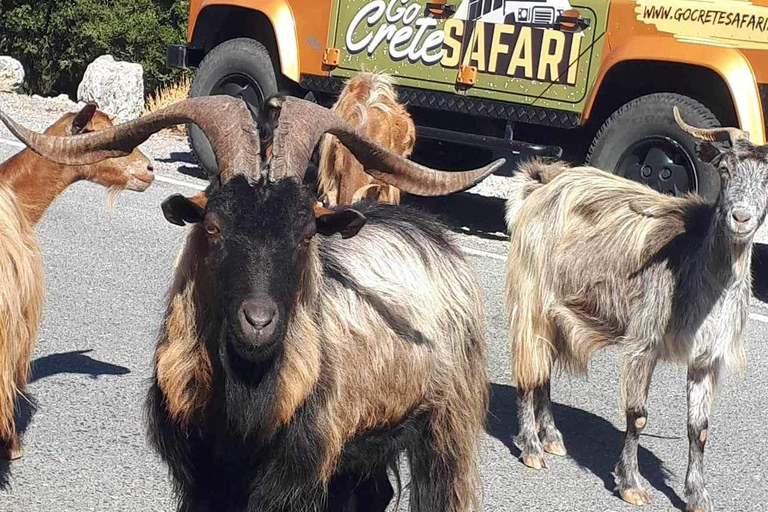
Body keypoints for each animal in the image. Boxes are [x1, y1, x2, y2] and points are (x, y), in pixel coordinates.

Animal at [504, 105, 768, 512]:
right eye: (725, 170)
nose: (740, 217)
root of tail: (539, 187)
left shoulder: (706, 357)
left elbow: (700, 428)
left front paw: (698, 495)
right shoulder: (643, 342)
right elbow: (638, 416)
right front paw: (631, 484)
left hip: (555, 311)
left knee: (543, 370)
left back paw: (552, 437)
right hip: (531, 294)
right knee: (527, 367)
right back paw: (532, 447)